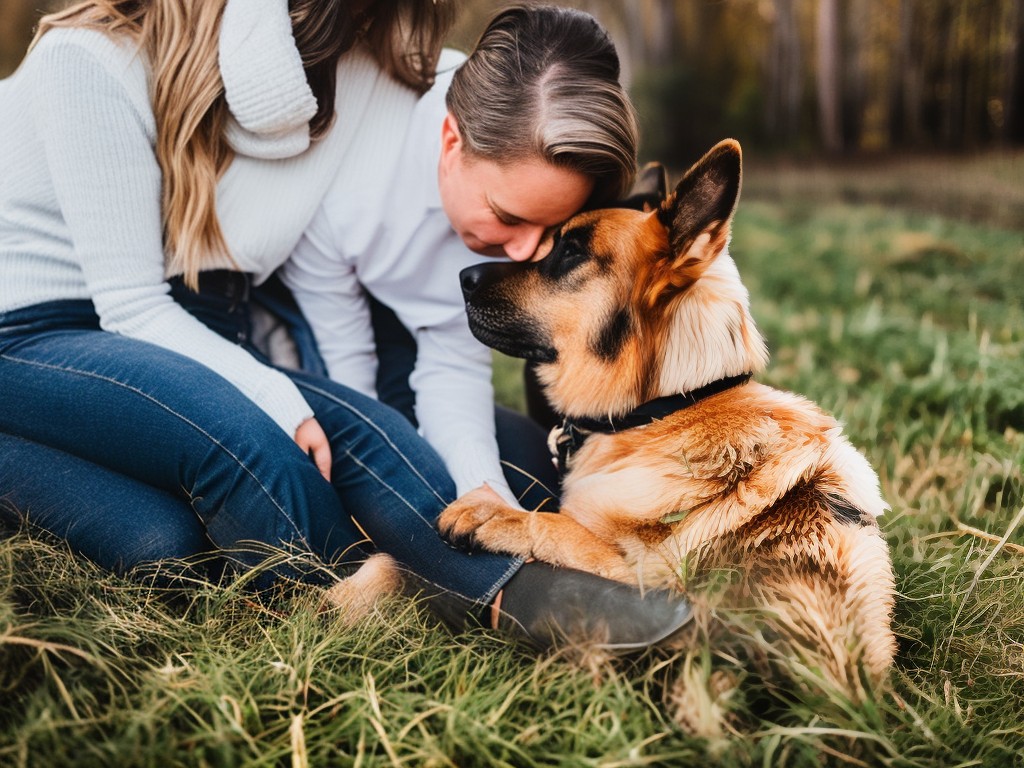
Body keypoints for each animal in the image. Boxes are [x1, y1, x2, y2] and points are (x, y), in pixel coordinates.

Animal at [438, 140, 897, 720]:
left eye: (569, 253)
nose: (461, 278)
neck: (667, 405)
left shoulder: (641, 574)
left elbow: (557, 525)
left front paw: (494, 514)